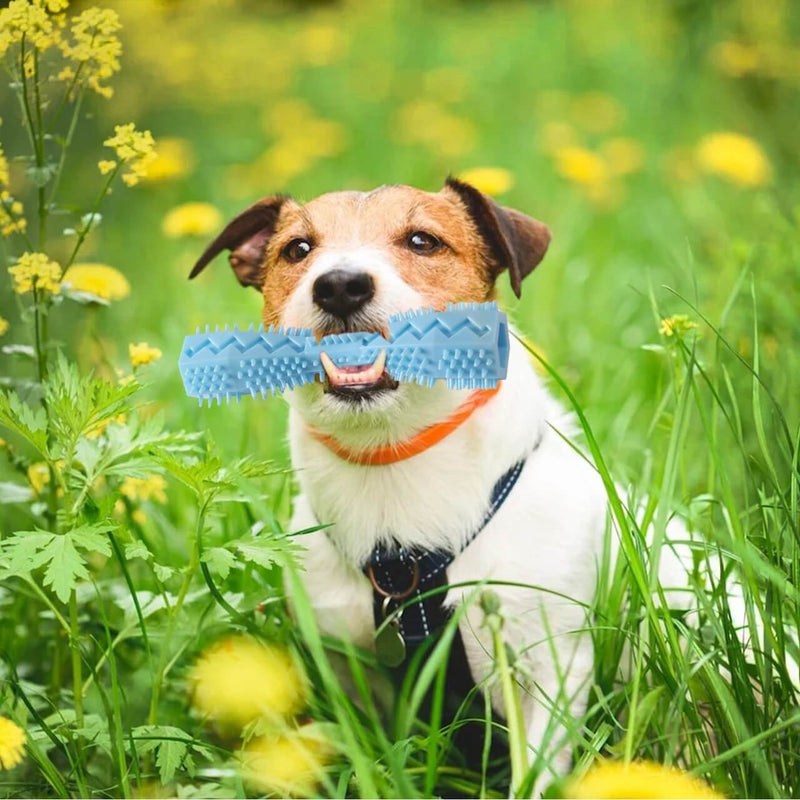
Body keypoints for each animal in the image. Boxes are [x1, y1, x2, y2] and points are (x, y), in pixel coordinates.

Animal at [188, 180, 676, 792]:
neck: (392, 464)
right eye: (297, 249)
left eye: (423, 240)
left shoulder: (550, 665)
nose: (339, 285)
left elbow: (537, 772)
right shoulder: (347, 668)